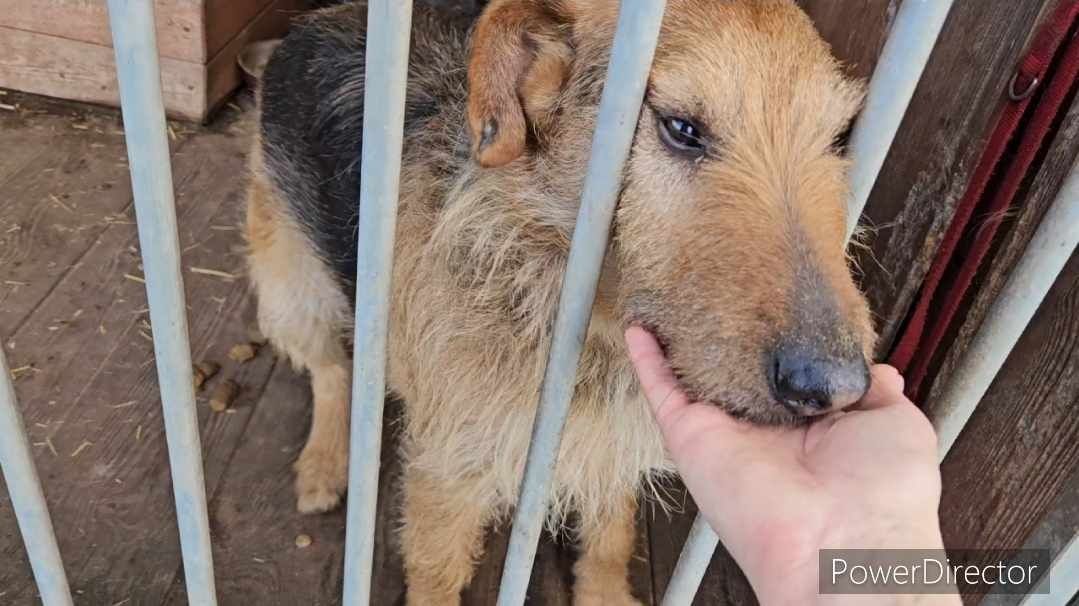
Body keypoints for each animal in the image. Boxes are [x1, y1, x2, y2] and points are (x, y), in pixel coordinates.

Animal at [244, 2, 876, 599]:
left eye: (836, 139)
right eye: (681, 128)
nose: (836, 388)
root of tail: (314, 21)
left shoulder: (611, 447)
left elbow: (611, 535)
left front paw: (605, 595)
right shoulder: (448, 471)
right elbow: (435, 573)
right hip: (293, 291)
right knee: (330, 368)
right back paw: (325, 463)